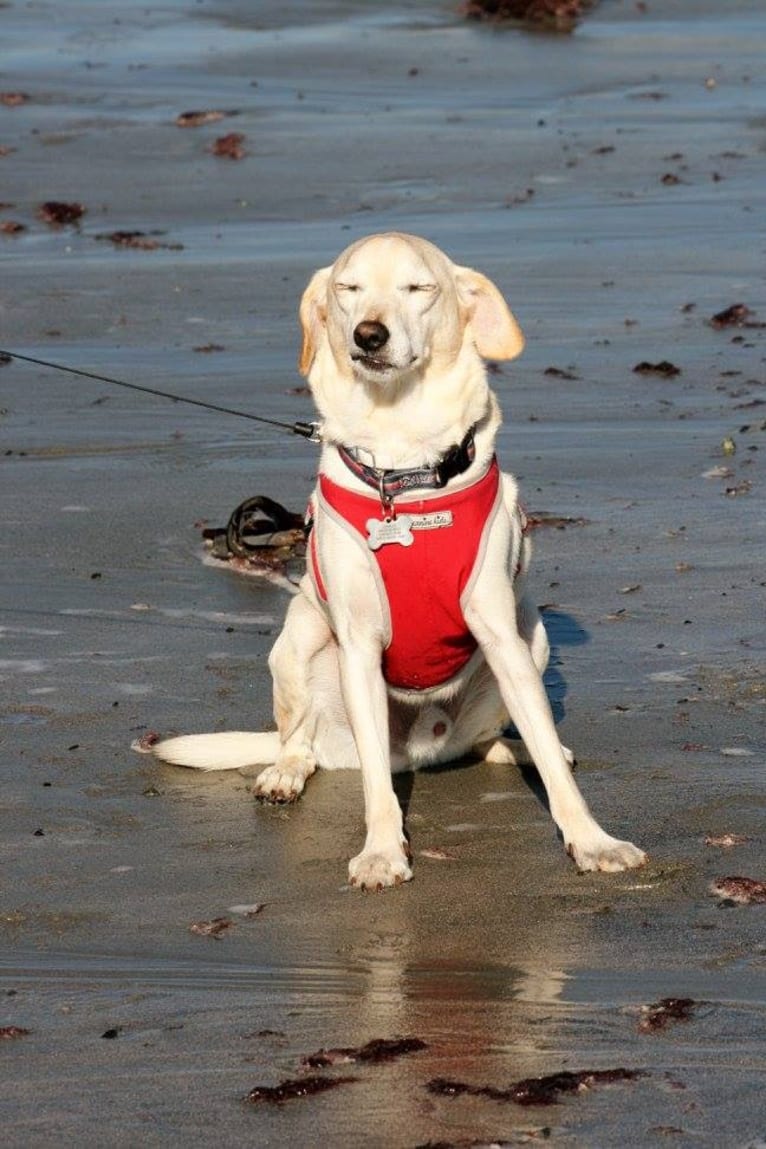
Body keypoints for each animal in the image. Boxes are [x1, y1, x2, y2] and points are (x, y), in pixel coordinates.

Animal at [148, 230, 647, 887]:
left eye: (418, 287)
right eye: (348, 288)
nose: (369, 335)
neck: (402, 471)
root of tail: (419, 747)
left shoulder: (501, 633)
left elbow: (549, 752)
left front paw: (591, 840)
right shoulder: (358, 642)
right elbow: (378, 793)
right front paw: (383, 852)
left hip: (531, 638)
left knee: (488, 741)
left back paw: (513, 750)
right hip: (298, 642)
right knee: (302, 740)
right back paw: (286, 771)